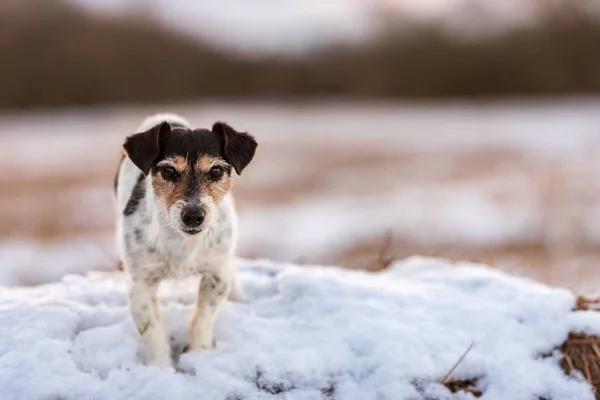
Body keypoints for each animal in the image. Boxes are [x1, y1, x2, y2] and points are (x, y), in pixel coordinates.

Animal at [115, 111, 258, 366]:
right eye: (168, 171)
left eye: (216, 171)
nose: (193, 216)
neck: (182, 242)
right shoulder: (140, 283)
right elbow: (151, 330)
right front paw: (159, 368)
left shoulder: (216, 275)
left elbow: (203, 316)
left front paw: (200, 353)